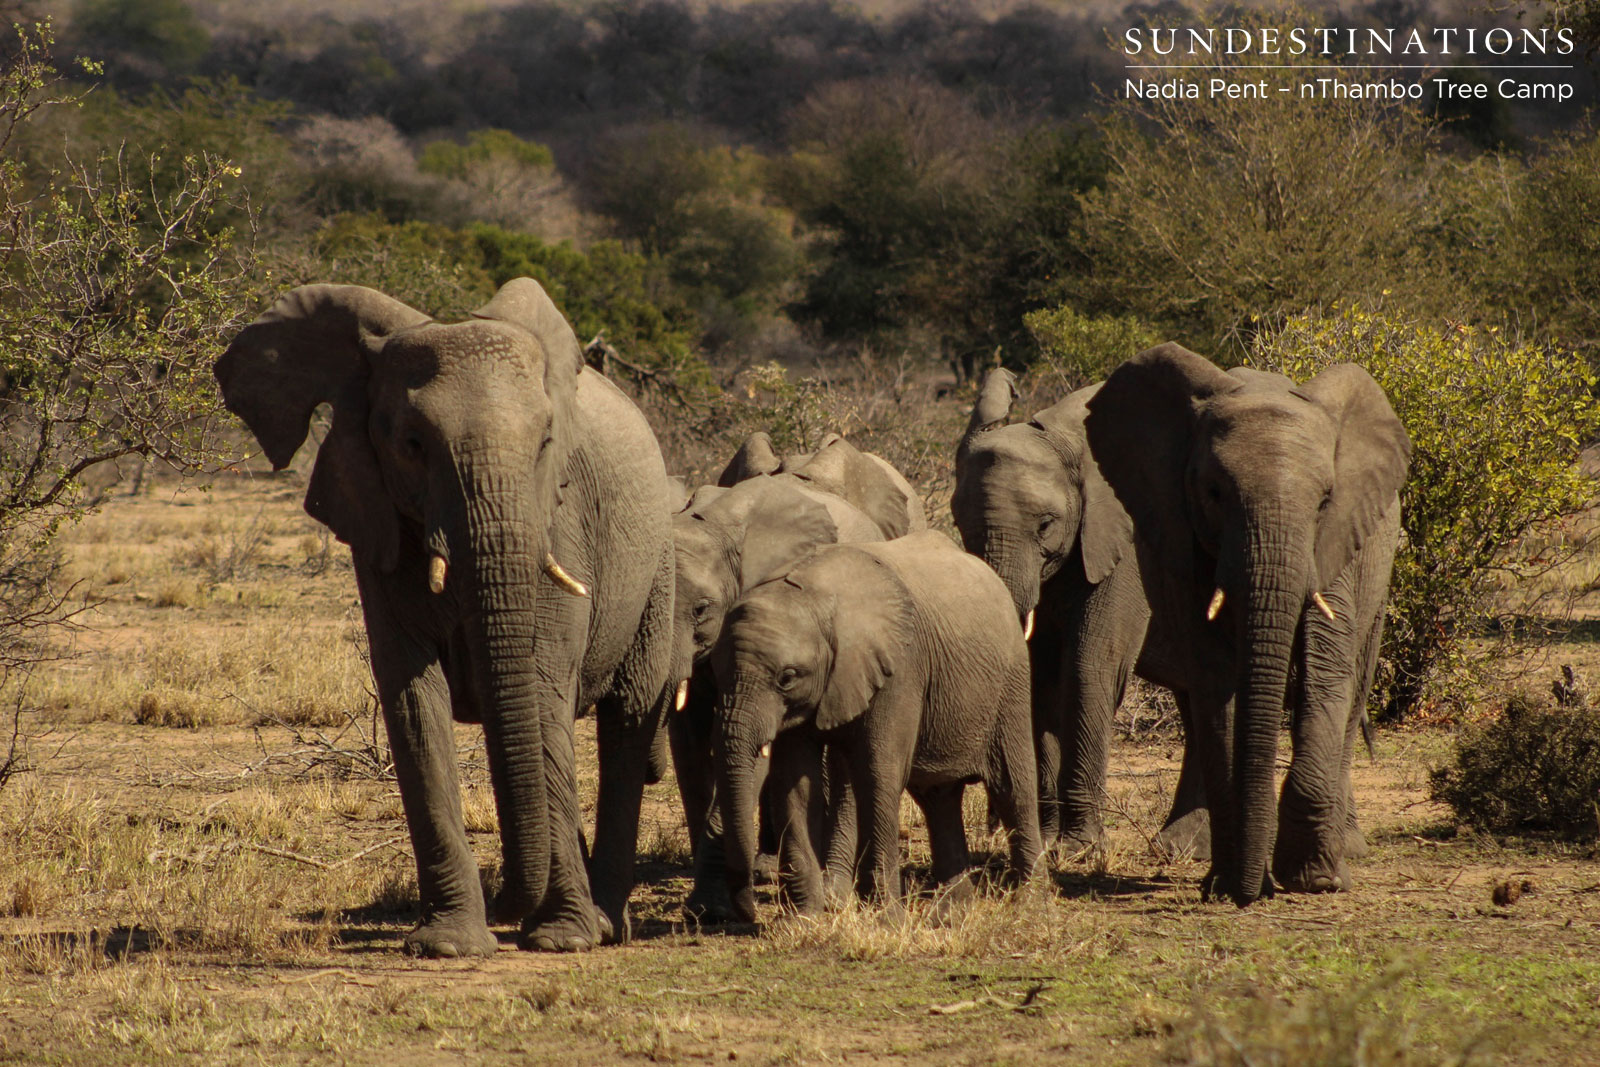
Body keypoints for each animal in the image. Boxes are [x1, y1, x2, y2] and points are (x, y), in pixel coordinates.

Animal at [215, 278, 676, 954]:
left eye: (546, 443)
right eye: (412, 445)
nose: (512, 902)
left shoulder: (560, 524)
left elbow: (542, 690)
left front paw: (562, 939)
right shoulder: (377, 525)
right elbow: (414, 700)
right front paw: (448, 943)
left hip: (659, 567)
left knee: (627, 717)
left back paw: (602, 923)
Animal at [666, 472, 885, 919]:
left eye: (701, 609)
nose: (749, 909)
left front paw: (715, 906)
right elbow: (691, 744)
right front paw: (705, 905)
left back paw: (829, 887)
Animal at [709, 530, 1041, 921]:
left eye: (787, 678)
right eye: (716, 672)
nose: (747, 910)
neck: (816, 597)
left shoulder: (900, 669)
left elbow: (877, 774)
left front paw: (886, 921)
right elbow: (794, 784)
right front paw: (801, 920)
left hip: (1012, 678)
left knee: (1012, 786)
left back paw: (1030, 902)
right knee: (937, 797)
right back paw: (950, 912)